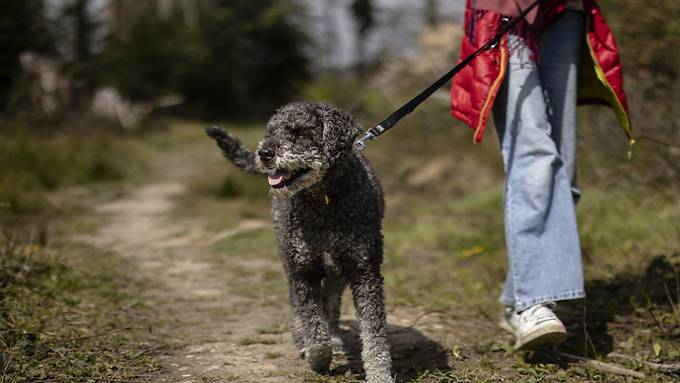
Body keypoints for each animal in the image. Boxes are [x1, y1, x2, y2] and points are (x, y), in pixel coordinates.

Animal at [203, 103, 394, 383]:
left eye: (299, 132)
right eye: (271, 131)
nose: (264, 153)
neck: (324, 200)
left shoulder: (364, 270)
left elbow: (374, 333)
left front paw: (380, 374)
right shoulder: (303, 270)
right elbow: (313, 327)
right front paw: (316, 357)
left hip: (336, 270)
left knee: (331, 303)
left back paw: (334, 335)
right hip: (290, 261)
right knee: (297, 304)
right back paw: (303, 339)